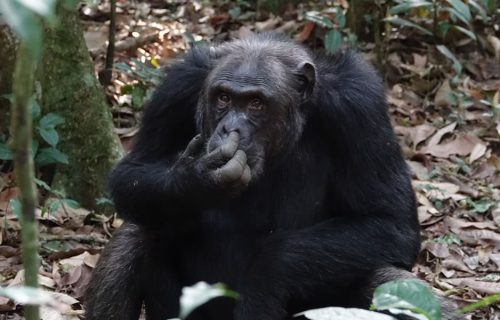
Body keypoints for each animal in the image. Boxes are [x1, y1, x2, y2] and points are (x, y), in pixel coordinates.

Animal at [85, 33, 460, 320]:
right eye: (223, 98)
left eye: (256, 104)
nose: (230, 128)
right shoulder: (176, 88)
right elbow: (132, 174)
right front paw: (198, 180)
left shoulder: (360, 106)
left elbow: (389, 221)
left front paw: (264, 281)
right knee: (140, 230)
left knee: (393, 282)